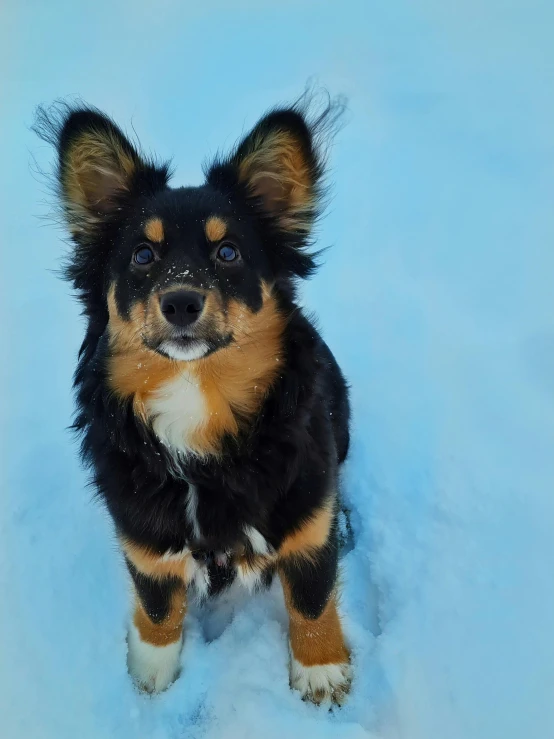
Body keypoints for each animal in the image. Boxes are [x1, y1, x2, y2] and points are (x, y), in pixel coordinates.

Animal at [34, 97, 352, 704]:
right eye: (142, 255)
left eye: (228, 251)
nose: (181, 301)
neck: (196, 393)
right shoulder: (142, 530)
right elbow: (158, 602)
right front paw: (151, 670)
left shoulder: (306, 514)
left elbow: (312, 596)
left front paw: (321, 669)